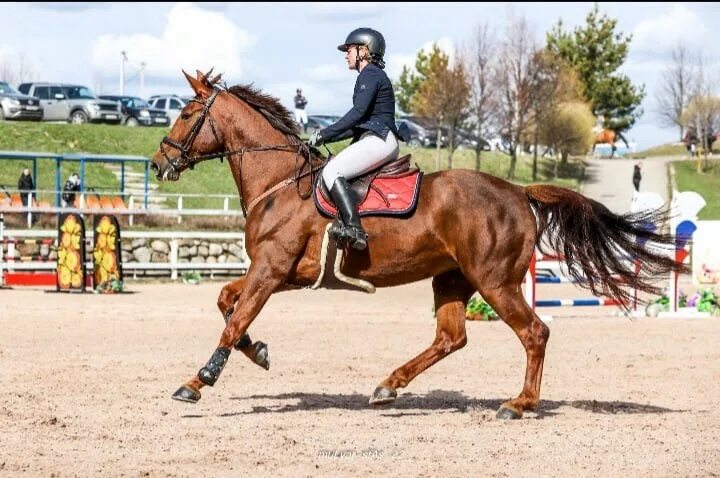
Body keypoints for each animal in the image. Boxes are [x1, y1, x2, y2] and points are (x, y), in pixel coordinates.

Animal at [153, 71, 688, 418]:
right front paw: (259, 352)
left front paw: (197, 382)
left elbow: (234, 318)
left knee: (534, 333)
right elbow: (227, 303)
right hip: (453, 278)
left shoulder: (271, 270)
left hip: (495, 282)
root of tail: (518, 191)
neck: (280, 182)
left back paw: (519, 404)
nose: (160, 163)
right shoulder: (282, 273)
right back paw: (388, 387)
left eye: (185, 113)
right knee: (452, 337)